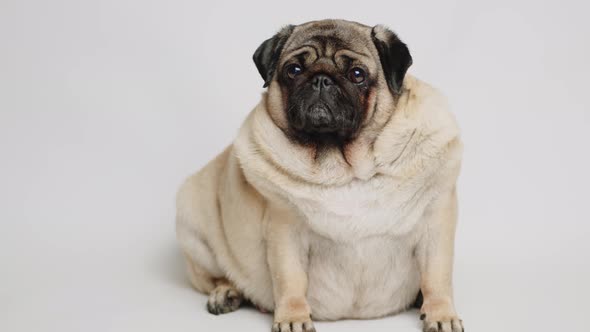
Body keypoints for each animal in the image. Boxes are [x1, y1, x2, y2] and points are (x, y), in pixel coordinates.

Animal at [178, 18, 464, 332]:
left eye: (357, 74)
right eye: (294, 70)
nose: (321, 80)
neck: (344, 166)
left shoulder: (436, 221)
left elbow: (437, 277)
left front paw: (441, 314)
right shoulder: (285, 229)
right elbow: (290, 280)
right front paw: (293, 318)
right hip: (193, 228)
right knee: (215, 276)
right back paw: (226, 292)